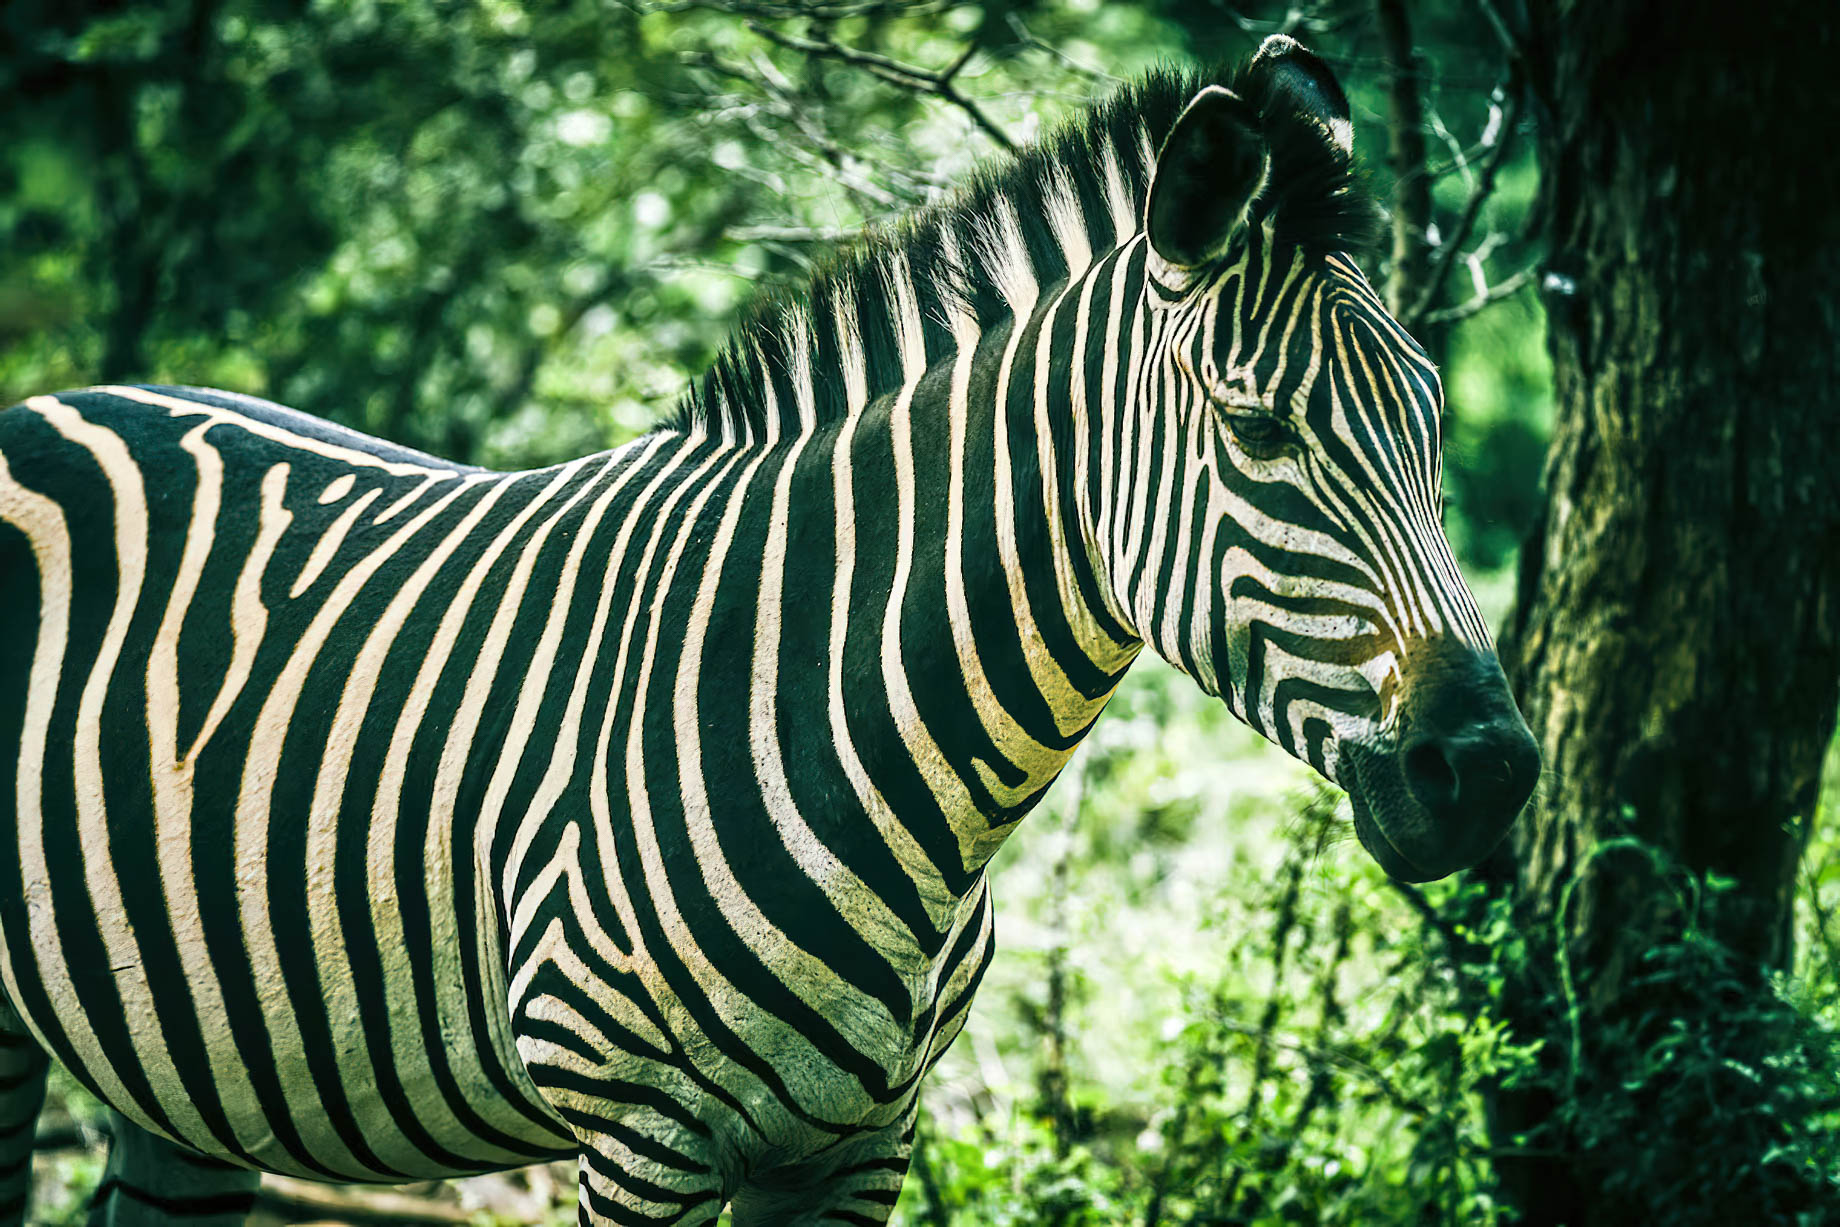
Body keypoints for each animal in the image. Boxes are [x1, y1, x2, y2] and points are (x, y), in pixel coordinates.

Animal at [0, 35, 1536, 1226]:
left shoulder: (860, 1143)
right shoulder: (640, 1135)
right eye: (1260, 434)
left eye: (1432, 421)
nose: (1493, 772)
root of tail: (51, 402)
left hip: (178, 1067)